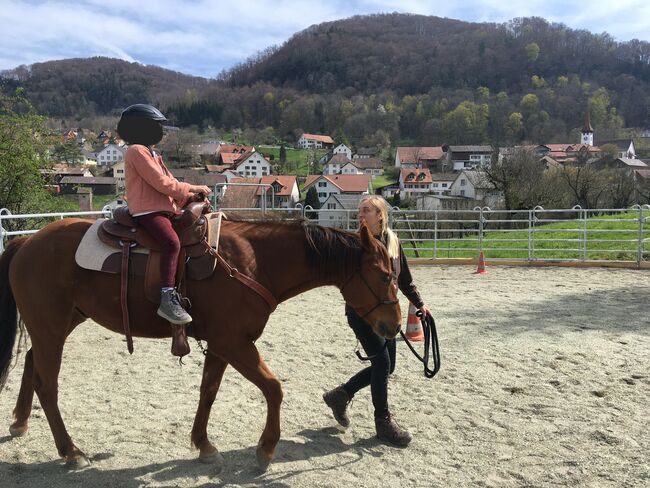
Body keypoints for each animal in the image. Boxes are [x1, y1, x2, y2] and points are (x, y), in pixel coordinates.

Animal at [0, 215, 400, 470]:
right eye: (383, 276)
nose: (394, 325)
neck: (252, 263)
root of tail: (28, 241)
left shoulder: (223, 344)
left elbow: (208, 391)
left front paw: (204, 445)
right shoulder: (236, 343)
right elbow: (274, 388)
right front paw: (266, 450)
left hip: (59, 324)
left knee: (32, 362)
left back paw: (20, 423)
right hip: (51, 326)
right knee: (47, 385)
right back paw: (71, 451)